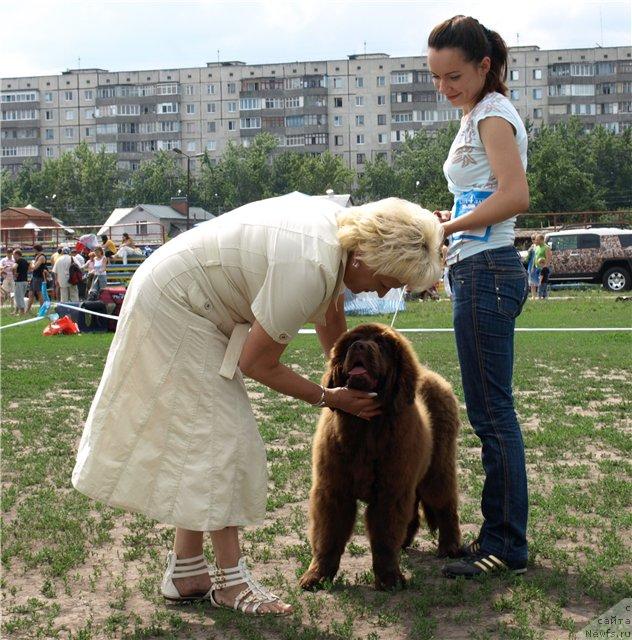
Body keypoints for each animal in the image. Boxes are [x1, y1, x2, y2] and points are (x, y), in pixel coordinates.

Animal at [298, 322, 462, 592]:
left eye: (382, 343)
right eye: (352, 340)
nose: (359, 346)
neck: (366, 429)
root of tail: (429, 374)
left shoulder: (390, 490)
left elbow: (385, 536)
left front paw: (388, 579)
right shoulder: (334, 489)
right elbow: (328, 535)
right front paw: (317, 575)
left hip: (437, 467)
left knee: (445, 504)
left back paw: (449, 547)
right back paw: (405, 542)